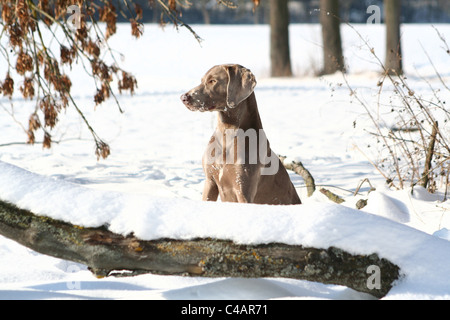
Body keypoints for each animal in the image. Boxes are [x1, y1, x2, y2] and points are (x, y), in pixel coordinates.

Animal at [180, 64, 302, 205]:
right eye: (202, 80)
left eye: (212, 81)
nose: (183, 97)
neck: (227, 134)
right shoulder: (210, 181)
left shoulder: (243, 188)